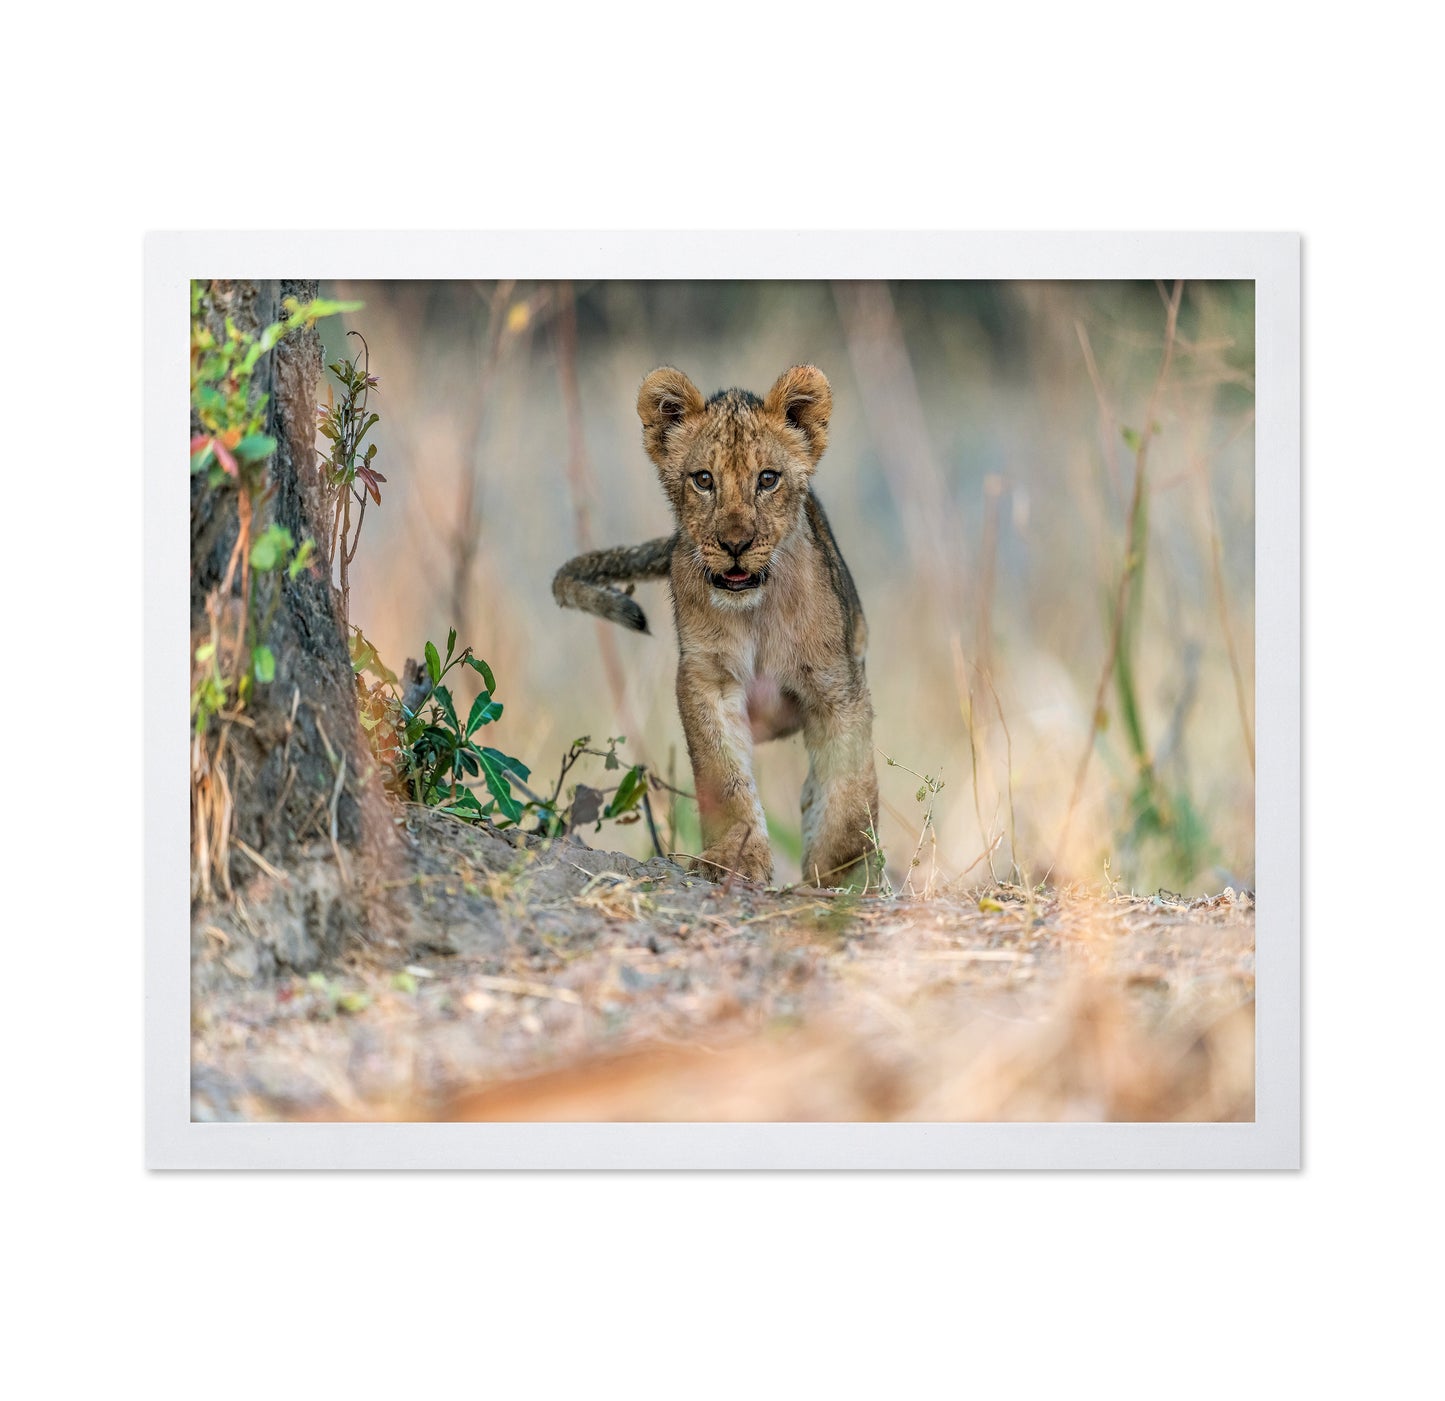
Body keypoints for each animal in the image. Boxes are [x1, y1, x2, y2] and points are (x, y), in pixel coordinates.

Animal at [553, 365, 881, 890]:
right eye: (704, 480)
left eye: (767, 479)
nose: (735, 544)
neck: (756, 614)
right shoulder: (706, 680)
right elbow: (723, 776)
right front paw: (735, 859)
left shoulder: (839, 686)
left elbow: (850, 791)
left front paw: (842, 878)